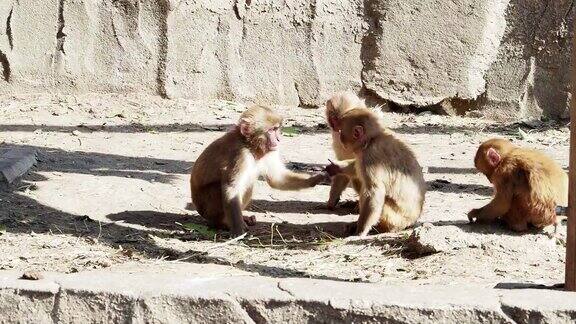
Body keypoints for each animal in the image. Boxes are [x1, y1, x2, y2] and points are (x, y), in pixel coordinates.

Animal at [191, 105, 328, 237]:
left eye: (276, 129)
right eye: (271, 130)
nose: (278, 139)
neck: (249, 145)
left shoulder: (269, 152)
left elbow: (277, 179)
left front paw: (316, 178)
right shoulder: (240, 155)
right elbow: (232, 188)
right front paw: (238, 230)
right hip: (208, 208)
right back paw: (223, 222)